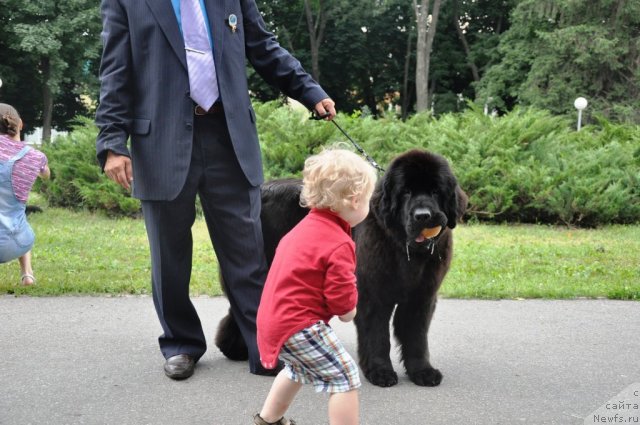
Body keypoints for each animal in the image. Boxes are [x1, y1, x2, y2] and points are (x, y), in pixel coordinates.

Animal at [215, 150, 464, 388]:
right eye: (406, 193)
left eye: (435, 192)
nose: (423, 216)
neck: (405, 250)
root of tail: (262, 192)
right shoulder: (372, 296)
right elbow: (377, 336)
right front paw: (380, 372)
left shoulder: (421, 297)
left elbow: (416, 338)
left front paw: (422, 372)